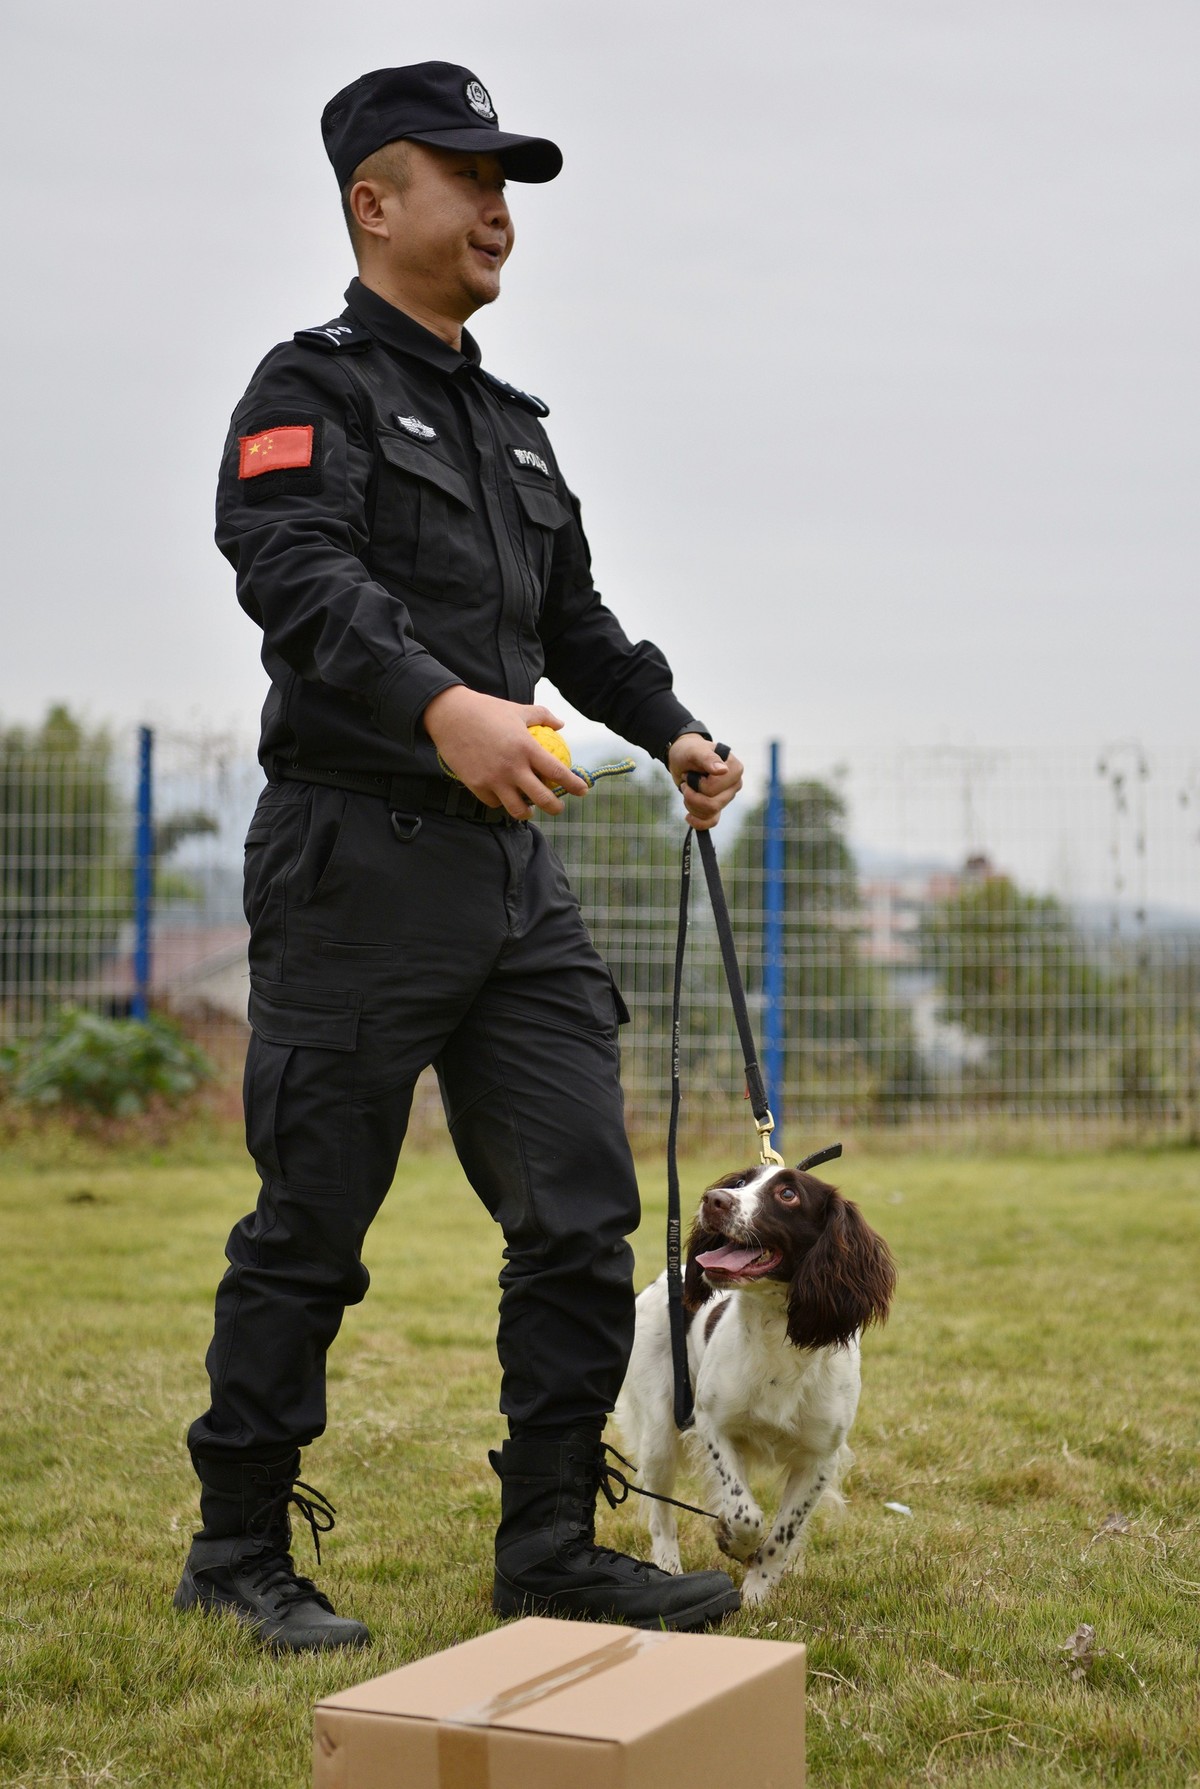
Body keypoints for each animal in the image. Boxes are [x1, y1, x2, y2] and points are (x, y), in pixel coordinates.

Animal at [618, 1159, 890, 1610]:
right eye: (741, 1181)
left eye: (788, 1194)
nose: (713, 1200)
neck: (776, 1331)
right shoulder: (712, 1424)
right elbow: (746, 1512)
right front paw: (734, 1542)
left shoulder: (820, 1458)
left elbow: (782, 1532)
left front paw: (758, 1588)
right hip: (659, 1430)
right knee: (660, 1512)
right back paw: (669, 1569)